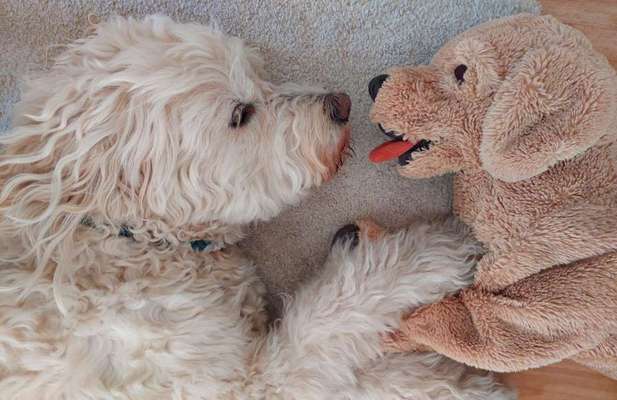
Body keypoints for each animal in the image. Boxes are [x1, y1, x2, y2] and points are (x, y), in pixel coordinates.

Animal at [0, 15, 510, 400]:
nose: (342, 104)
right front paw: (430, 253)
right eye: (239, 115)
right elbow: (337, 309)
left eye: (259, 74)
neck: (126, 241)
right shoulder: (245, 384)